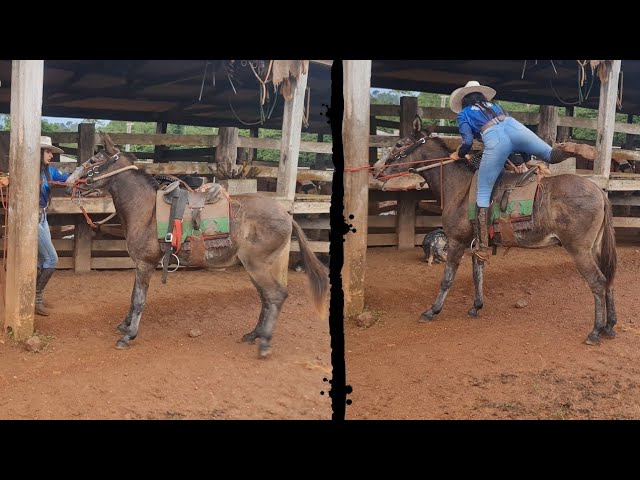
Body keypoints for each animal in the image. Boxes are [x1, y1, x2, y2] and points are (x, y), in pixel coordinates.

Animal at [65, 131, 328, 356]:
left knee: (276, 295)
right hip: (254, 266)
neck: (146, 210)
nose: (69, 181)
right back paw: (254, 334)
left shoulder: (145, 264)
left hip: (257, 265)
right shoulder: (141, 265)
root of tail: (286, 214)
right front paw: (124, 325)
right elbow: (133, 297)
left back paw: (264, 343)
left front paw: (129, 335)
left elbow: (138, 300)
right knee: (266, 298)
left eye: (94, 160)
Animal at [372, 118, 616, 346]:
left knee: (598, 282)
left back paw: (595, 331)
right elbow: (477, 274)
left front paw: (432, 311)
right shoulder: (476, 243)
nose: (375, 169)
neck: (460, 187)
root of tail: (598, 191)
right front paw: (476, 307)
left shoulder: (456, 242)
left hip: (579, 250)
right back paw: (609, 326)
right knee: (608, 280)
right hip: (595, 248)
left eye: (399, 144)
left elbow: (447, 279)